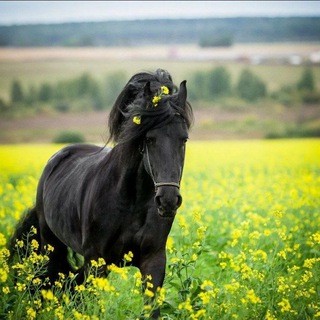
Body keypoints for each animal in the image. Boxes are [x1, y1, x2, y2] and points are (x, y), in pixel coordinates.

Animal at [9, 69, 192, 316]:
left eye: (184, 139)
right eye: (149, 139)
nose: (168, 201)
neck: (132, 202)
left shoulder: (153, 260)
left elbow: (151, 308)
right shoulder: (97, 261)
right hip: (51, 245)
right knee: (52, 281)